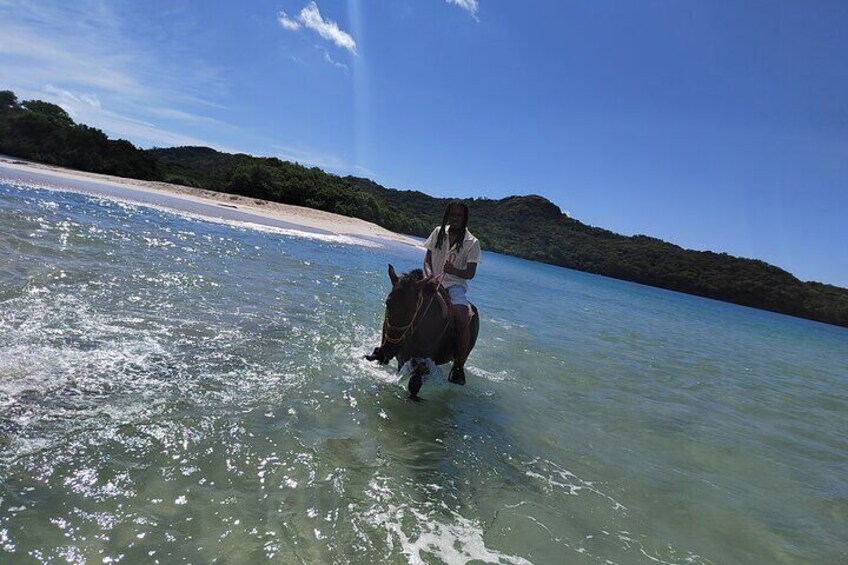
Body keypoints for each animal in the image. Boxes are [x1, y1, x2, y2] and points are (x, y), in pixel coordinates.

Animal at [366, 264, 480, 398]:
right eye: (388, 303)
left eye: (412, 310)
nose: (389, 349)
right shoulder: (402, 359)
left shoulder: (422, 364)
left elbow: (414, 386)